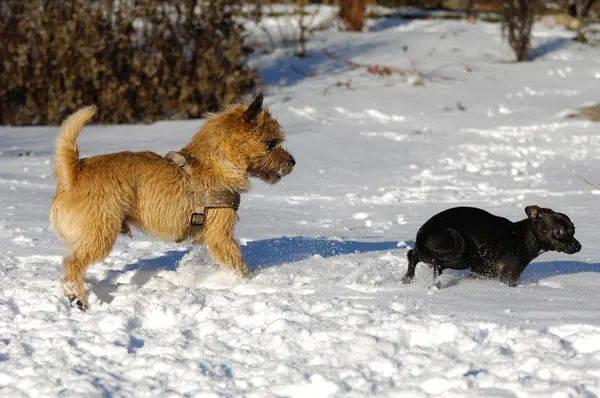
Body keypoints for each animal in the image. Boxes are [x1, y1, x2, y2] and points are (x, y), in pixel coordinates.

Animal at [49, 94, 296, 310]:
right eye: (271, 143)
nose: (293, 162)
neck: (216, 162)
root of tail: (73, 172)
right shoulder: (221, 235)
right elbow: (237, 263)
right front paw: (250, 281)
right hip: (100, 234)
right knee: (72, 263)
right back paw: (77, 298)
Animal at [404, 207, 580, 288]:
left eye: (573, 230)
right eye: (558, 231)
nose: (578, 246)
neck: (524, 236)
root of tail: (423, 234)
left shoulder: (482, 272)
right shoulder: (509, 276)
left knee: (412, 254)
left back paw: (407, 278)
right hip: (462, 256)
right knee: (438, 265)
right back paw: (436, 285)